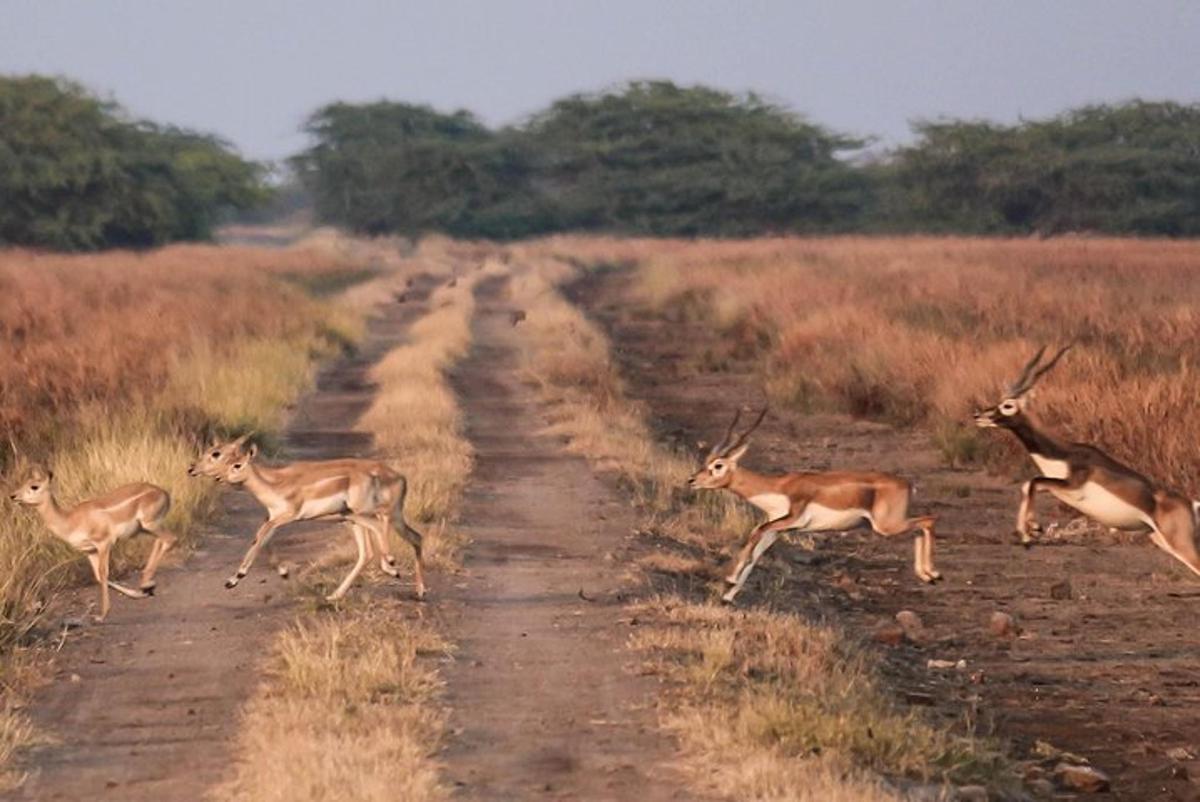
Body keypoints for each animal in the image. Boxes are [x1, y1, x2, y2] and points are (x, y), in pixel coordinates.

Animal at [7, 465, 177, 624]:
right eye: (24, 482)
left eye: (34, 486)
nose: (13, 496)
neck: (71, 520)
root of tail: (164, 493)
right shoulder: (89, 551)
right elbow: (98, 576)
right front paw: (137, 595)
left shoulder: (104, 543)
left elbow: (103, 573)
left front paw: (101, 616)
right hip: (145, 528)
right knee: (161, 541)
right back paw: (146, 586)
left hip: (149, 524)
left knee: (171, 539)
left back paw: (146, 584)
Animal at [188, 439, 427, 600]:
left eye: (217, 454)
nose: (191, 468)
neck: (275, 483)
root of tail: (400, 477)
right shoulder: (272, 517)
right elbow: (262, 540)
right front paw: (283, 572)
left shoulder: (285, 517)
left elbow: (259, 538)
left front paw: (234, 578)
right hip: (357, 519)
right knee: (390, 545)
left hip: (369, 514)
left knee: (386, 534)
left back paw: (394, 568)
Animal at [686, 408, 936, 600]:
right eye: (706, 461)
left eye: (718, 465)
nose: (692, 480)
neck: (778, 487)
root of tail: (906, 483)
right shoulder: (779, 528)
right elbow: (756, 553)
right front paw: (728, 595)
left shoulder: (791, 520)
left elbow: (755, 531)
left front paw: (729, 579)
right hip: (890, 525)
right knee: (920, 526)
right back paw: (928, 576)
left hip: (885, 526)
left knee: (929, 519)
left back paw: (933, 574)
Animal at [969, 345, 1200, 576]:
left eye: (1008, 405)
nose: (978, 416)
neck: (1063, 452)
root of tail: (1190, 503)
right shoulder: (1056, 486)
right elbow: (1028, 485)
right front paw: (1033, 529)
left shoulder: (1072, 485)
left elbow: (1032, 481)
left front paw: (1028, 535)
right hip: (1158, 538)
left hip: (1178, 543)